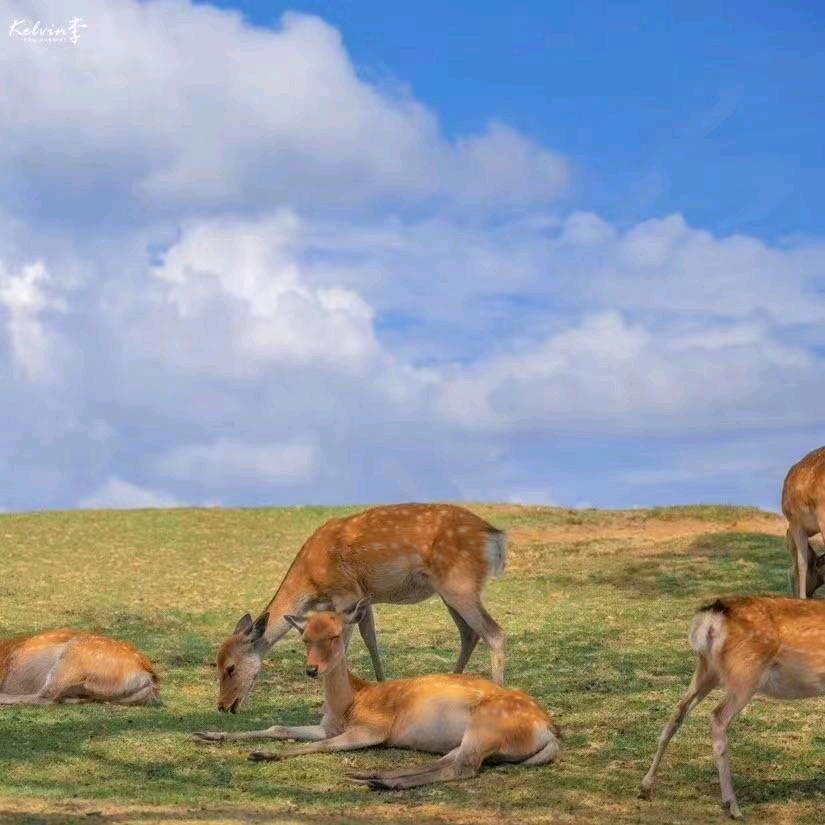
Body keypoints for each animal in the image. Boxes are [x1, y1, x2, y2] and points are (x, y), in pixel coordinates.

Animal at [197, 602, 559, 789]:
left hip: (486, 727)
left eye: (336, 634)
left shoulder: (374, 729)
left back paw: (381, 782)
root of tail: (550, 731)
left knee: (463, 767)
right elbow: (280, 727)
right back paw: (372, 776)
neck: (349, 702)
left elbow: (323, 745)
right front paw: (207, 733)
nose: (312, 669)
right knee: (449, 760)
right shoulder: (327, 725)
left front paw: (262, 753)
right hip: (474, 738)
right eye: (305, 637)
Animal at [211, 503, 507, 714]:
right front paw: (382, 687)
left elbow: (344, 645)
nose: (223, 706)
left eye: (230, 667)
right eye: (217, 663)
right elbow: (371, 639)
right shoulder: (363, 598)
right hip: (448, 590)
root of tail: (495, 537)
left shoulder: (345, 593)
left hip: (460, 583)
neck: (311, 579)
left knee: (494, 632)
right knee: (469, 633)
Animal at [640, 596, 825, 819]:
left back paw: (645, 786)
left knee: (679, 710)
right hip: (744, 673)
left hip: (708, 669)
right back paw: (733, 806)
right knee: (717, 716)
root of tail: (713, 615)